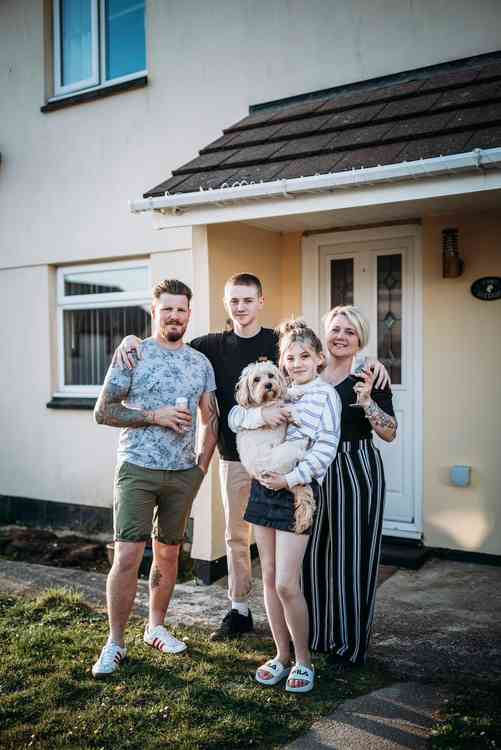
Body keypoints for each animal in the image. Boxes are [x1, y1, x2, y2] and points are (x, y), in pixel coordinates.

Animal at [235, 362, 314, 536]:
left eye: (271, 376)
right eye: (256, 379)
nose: (269, 385)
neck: (265, 401)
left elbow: (285, 394)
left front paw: (294, 391)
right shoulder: (275, 410)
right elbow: (288, 407)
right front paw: (296, 417)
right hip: (286, 451)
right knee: (299, 450)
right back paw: (304, 441)